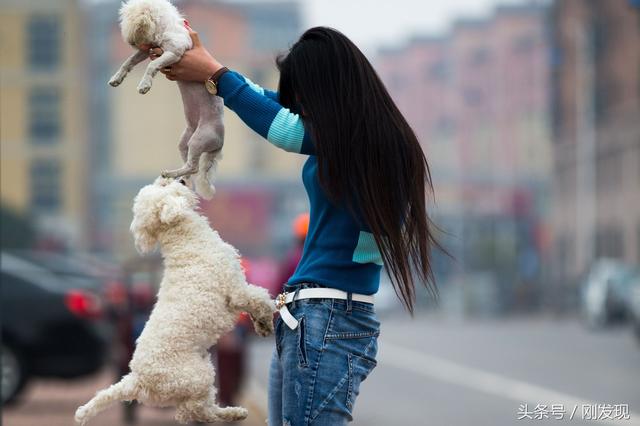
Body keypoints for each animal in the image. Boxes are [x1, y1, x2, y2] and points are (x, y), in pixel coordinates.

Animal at [75, 176, 276, 422]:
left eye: (161, 183)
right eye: (165, 188)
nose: (179, 178)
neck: (185, 241)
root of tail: (135, 380)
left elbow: (255, 303)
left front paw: (261, 325)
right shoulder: (235, 290)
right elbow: (259, 299)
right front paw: (266, 322)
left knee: (195, 408)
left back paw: (233, 412)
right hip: (195, 376)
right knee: (192, 411)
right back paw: (232, 414)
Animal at [107, 0, 222, 200]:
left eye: (129, 23)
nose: (129, 42)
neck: (163, 30)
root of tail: (219, 143)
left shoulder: (174, 53)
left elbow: (152, 65)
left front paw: (144, 85)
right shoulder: (148, 51)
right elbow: (128, 61)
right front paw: (117, 78)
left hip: (199, 139)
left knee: (193, 167)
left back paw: (170, 173)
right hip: (185, 141)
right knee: (190, 167)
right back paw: (180, 181)